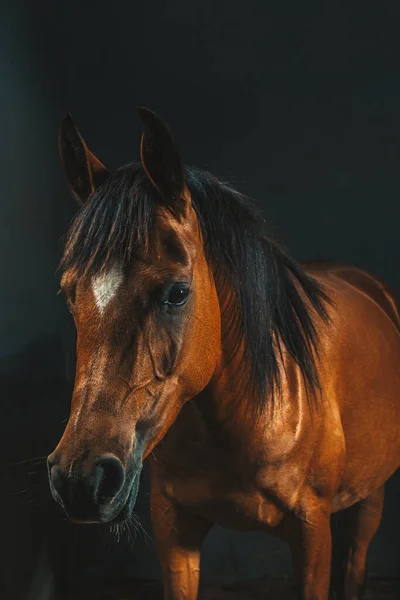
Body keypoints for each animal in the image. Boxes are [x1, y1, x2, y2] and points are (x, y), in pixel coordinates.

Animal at [48, 108, 400, 600]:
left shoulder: (313, 532)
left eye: (177, 293)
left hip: (372, 497)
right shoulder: (174, 529)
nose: (80, 480)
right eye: (69, 293)